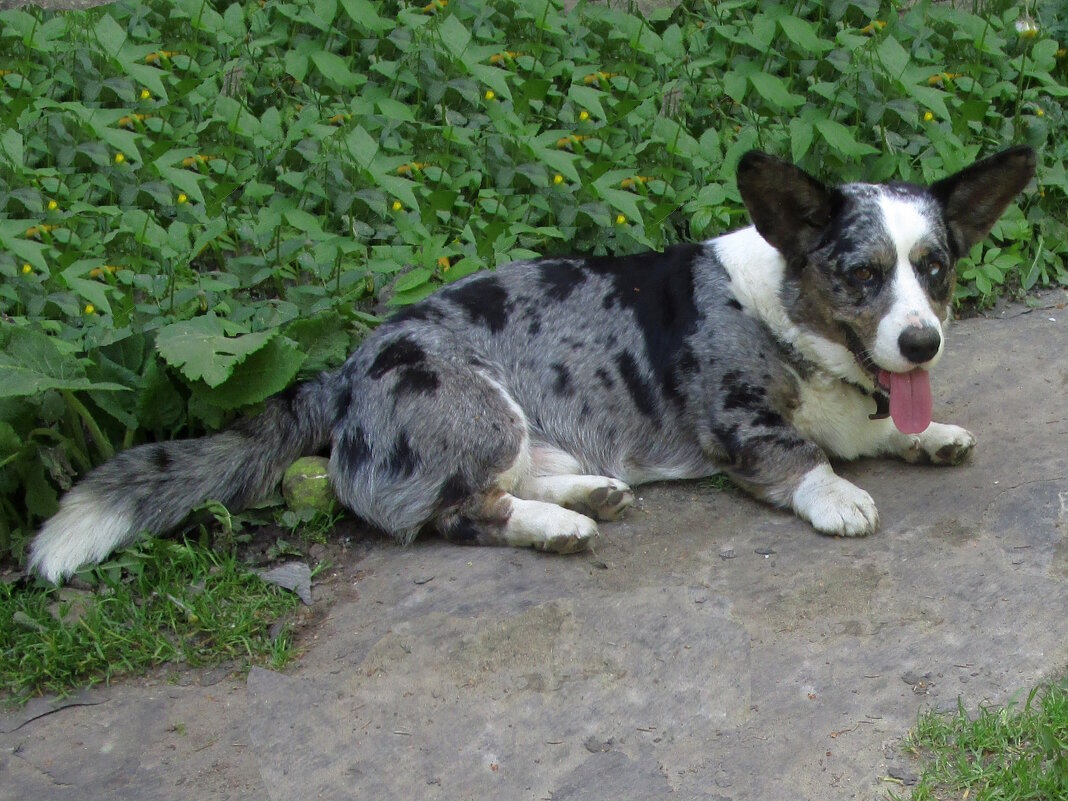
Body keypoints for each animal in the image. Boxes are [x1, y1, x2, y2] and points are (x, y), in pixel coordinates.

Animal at [31, 146, 1033, 585]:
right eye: (860, 273)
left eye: (934, 268)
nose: (923, 344)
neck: (789, 311)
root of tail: (344, 372)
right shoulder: (743, 420)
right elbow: (805, 454)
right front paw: (838, 495)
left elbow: (883, 429)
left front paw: (930, 432)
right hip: (479, 406)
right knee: (455, 512)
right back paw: (561, 528)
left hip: (518, 427)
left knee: (510, 481)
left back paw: (591, 494)